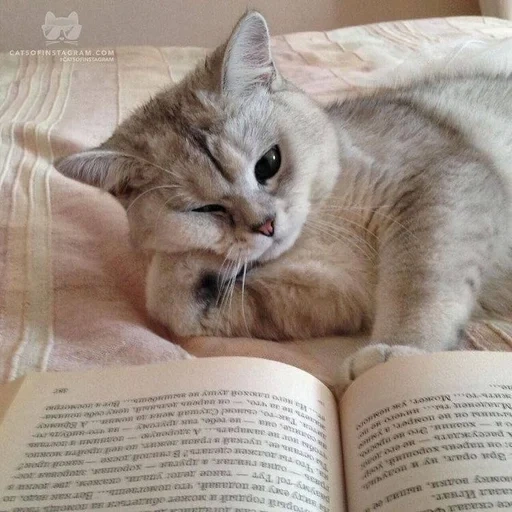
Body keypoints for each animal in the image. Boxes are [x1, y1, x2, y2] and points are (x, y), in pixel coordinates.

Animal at [56, 12, 512, 390]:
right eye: (204, 209)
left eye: (269, 163)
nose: (266, 225)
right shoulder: (334, 292)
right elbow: (175, 302)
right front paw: (194, 267)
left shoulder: (442, 181)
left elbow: (420, 280)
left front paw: (401, 355)